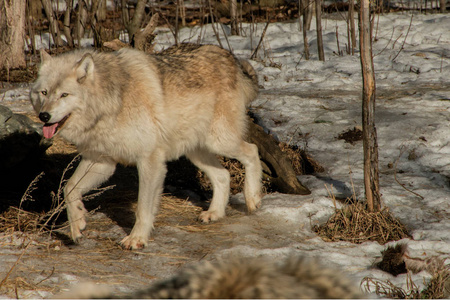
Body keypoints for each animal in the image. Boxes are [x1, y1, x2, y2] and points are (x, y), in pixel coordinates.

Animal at [29, 44, 262, 248]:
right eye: (44, 93)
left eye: (64, 95)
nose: (44, 116)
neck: (112, 103)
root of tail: (229, 56)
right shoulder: (101, 162)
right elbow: (68, 188)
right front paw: (77, 225)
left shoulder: (149, 161)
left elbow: (142, 209)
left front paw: (136, 239)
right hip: (196, 152)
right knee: (223, 175)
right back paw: (215, 213)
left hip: (220, 142)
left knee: (252, 151)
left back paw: (253, 200)